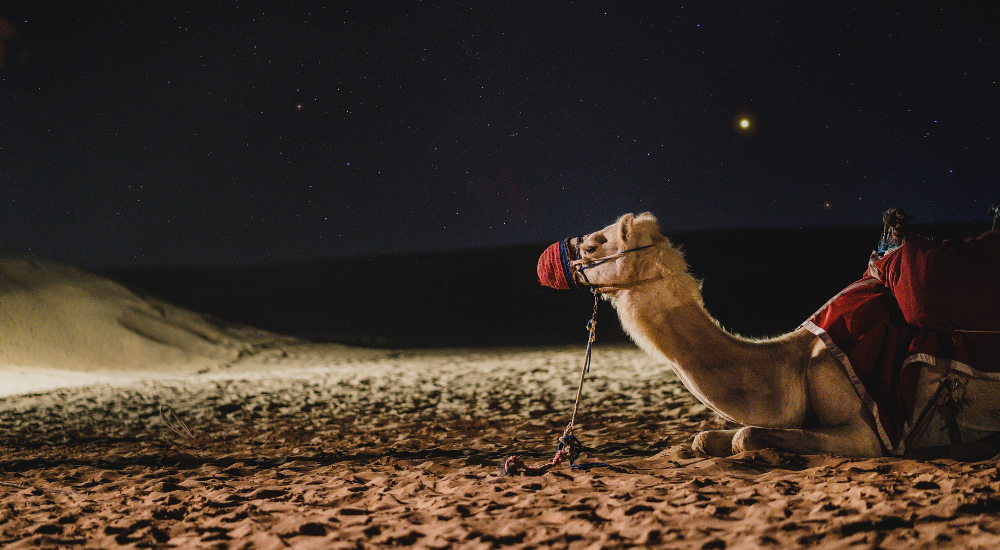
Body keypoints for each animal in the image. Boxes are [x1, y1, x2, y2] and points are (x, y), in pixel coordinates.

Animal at [548, 213, 1000, 460]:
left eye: (597, 244)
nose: (561, 252)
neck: (792, 364)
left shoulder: (869, 430)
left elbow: (745, 435)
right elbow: (704, 439)